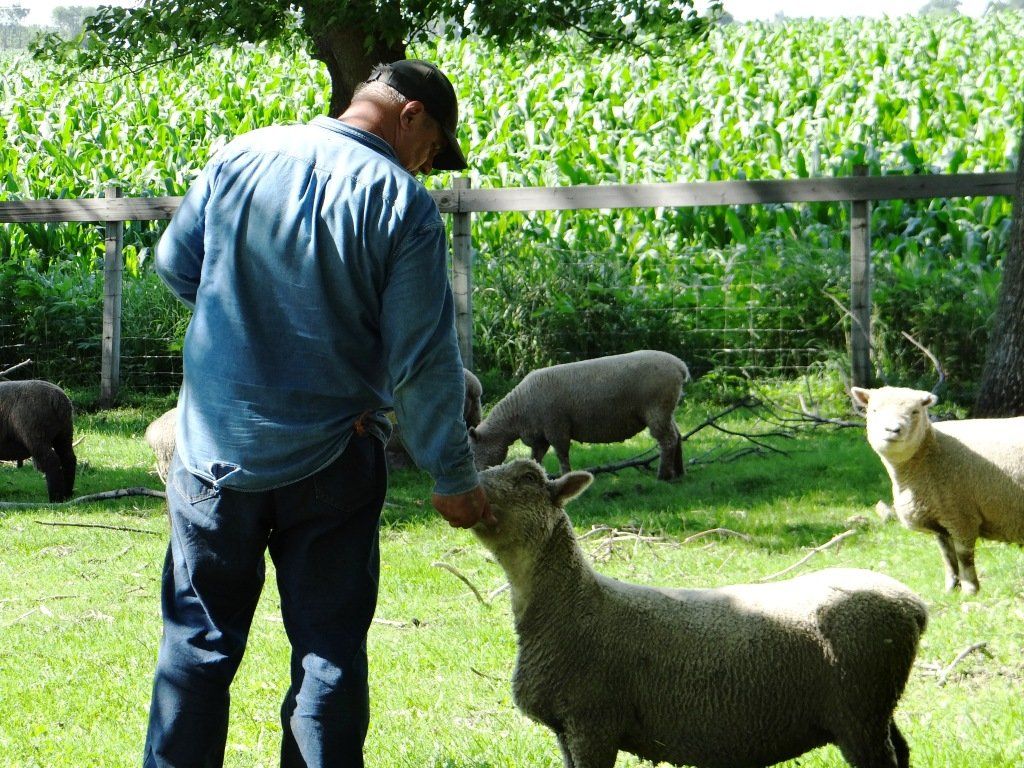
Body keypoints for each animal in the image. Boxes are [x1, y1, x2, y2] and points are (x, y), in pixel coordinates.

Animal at [469, 350, 689, 481]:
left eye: (473, 450)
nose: (477, 477)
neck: (515, 415)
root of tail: (680, 366)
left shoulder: (556, 427)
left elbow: (562, 454)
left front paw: (565, 476)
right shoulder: (540, 437)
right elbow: (535, 458)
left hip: (657, 409)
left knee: (668, 440)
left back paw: (664, 476)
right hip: (667, 409)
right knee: (677, 435)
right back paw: (679, 472)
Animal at [473, 458, 928, 768]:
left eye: (527, 478)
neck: (574, 604)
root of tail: (912, 605)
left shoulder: (592, 722)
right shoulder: (567, 729)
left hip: (859, 711)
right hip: (875, 707)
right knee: (903, 750)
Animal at [851, 385, 1024, 595]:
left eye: (915, 411)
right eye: (874, 410)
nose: (893, 430)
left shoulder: (961, 516)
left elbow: (964, 557)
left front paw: (970, 590)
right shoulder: (940, 516)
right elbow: (947, 556)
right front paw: (950, 589)